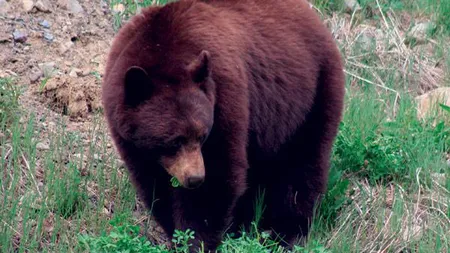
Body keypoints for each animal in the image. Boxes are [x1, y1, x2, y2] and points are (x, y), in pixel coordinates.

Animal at [102, 0, 344, 250]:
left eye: (202, 135)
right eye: (174, 140)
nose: (195, 178)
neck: (163, 47)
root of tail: (315, 17)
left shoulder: (224, 95)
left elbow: (218, 176)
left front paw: (195, 240)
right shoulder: (131, 136)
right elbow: (154, 183)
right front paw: (176, 235)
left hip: (310, 94)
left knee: (301, 165)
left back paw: (286, 233)